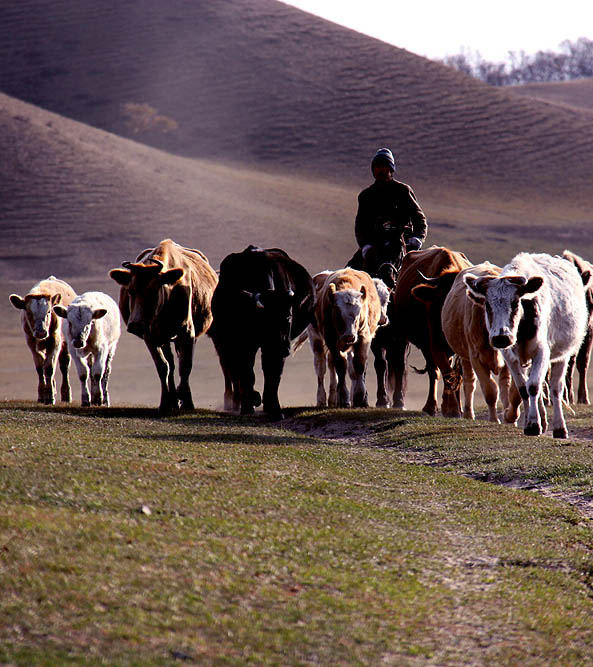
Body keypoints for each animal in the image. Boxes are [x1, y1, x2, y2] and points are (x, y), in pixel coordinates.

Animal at [9, 276, 76, 404]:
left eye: (49, 311)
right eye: (29, 312)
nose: (41, 332)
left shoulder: (56, 341)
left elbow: (49, 368)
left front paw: (49, 396)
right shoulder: (31, 342)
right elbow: (40, 368)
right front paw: (42, 395)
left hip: (65, 343)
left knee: (64, 366)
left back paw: (66, 395)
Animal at [108, 235, 217, 412]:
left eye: (154, 292)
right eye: (130, 291)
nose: (135, 324)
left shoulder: (188, 333)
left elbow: (185, 366)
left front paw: (187, 402)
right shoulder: (150, 336)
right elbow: (163, 366)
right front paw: (166, 402)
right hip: (164, 338)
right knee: (170, 364)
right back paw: (173, 399)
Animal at [208, 245, 314, 422]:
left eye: (289, 316)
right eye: (266, 320)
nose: (284, 348)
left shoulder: (274, 348)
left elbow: (273, 374)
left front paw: (274, 408)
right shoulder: (245, 344)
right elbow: (247, 372)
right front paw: (250, 402)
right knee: (233, 369)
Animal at [388, 245, 472, 418]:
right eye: (443, 295)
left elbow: (457, 373)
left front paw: (455, 408)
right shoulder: (433, 343)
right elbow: (442, 372)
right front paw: (446, 408)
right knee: (437, 371)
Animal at [464, 252, 588, 438]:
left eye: (515, 303)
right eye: (487, 305)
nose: (501, 338)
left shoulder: (542, 352)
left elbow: (533, 386)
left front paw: (533, 425)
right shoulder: (509, 356)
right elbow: (523, 388)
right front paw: (533, 422)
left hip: (563, 355)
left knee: (555, 388)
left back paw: (559, 427)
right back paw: (544, 420)